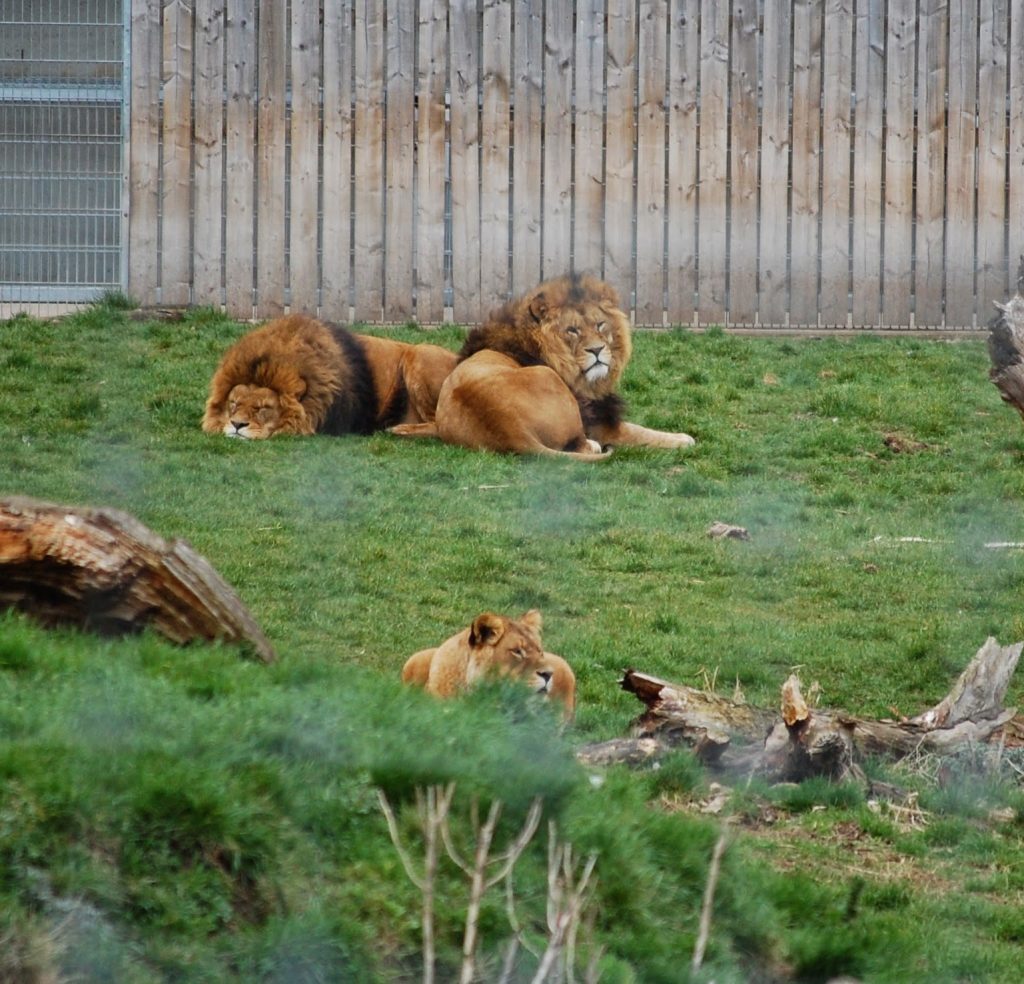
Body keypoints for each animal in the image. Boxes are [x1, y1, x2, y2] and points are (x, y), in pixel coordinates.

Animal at [202, 314, 458, 439]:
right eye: (233, 404)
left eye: (263, 408)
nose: (237, 425)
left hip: (419, 353)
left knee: (439, 425)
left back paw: (399, 430)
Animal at [389, 274, 695, 458]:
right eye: (572, 330)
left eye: (600, 325)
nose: (597, 350)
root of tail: (508, 427)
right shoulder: (601, 425)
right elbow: (642, 432)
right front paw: (683, 439)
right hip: (549, 381)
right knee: (581, 446)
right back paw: (595, 447)